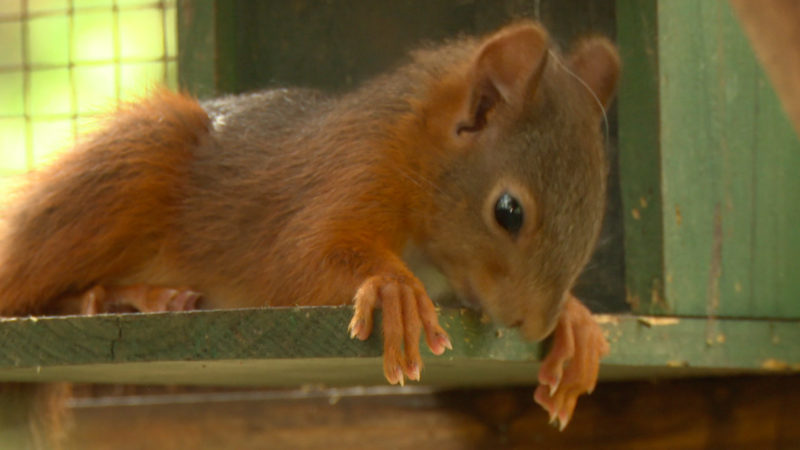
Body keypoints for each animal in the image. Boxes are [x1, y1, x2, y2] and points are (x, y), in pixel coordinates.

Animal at [0, 22, 620, 432]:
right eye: (508, 211)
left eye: (596, 208)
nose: (531, 323)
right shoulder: (350, 169)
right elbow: (301, 257)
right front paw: (393, 290)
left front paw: (577, 324)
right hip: (135, 157)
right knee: (28, 291)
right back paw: (123, 296)